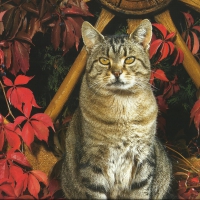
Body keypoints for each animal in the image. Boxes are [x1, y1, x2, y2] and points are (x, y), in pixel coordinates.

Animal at [61, 18, 172, 198]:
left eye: (129, 59)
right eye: (104, 60)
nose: (117, 72)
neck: (123, 105)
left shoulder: (143, 158)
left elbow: (141, 192)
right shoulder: (93, 161)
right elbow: (96, 193)